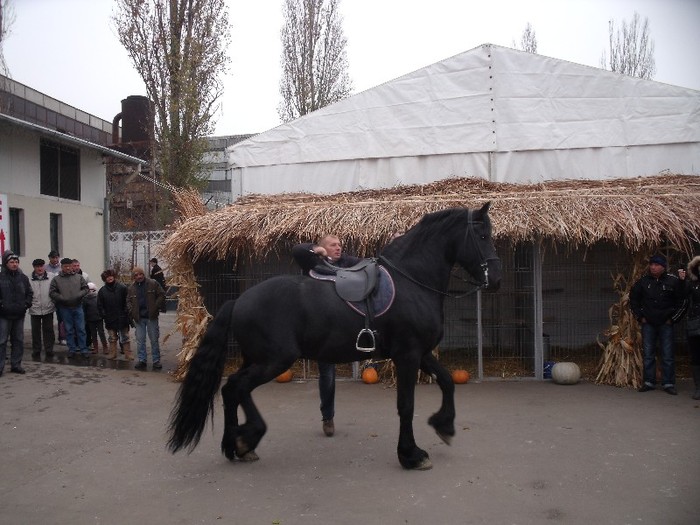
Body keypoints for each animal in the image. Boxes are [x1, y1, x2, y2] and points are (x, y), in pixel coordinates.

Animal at [167, 203, 500, 468]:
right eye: (483, 236)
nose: (495, 280)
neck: (411, 281)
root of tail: (239, 301)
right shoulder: (407, 355)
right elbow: (406, 405)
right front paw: (410, 454)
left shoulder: (421, 353)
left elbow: (447, 381)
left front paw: (445, 425)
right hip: (274, 361)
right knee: (235, 388)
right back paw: (244, 440)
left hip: (258, 359)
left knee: (232, 390)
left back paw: (238, 444)